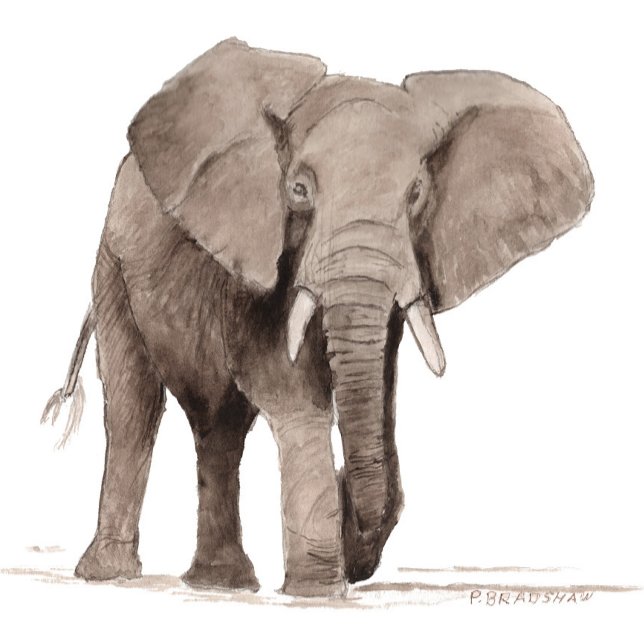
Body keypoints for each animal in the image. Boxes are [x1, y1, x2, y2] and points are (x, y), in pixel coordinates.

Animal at [42, 38, 593, 597]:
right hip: (112, 265)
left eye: (417, 193)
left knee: (218, 425)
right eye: (299, 191)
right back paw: (110, 573)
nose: (355, 550)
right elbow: (287, 383)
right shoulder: (254, 255)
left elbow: (381, 392)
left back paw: (221, 583)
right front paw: (317, 592)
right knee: (131, 404)